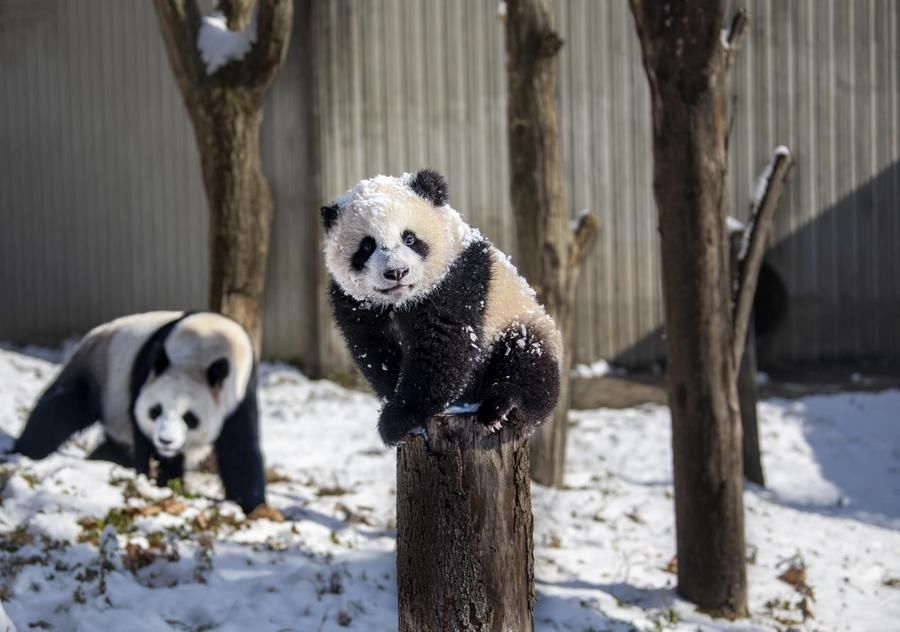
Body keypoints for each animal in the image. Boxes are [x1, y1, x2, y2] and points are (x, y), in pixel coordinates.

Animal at [12, 312, 266, 512]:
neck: (203, 344)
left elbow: (240, 449)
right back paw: (26, 451)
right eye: (156, 410)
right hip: (98, 371)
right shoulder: (143, 375)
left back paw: (102, 459)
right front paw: (159, 480)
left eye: (190, 418)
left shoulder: (239, 394)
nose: (166, 441)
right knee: (61, 409)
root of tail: (94, 333)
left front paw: (252, 505)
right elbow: (140, 431)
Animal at [324, 168, 564, 444]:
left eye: (409, 238)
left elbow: (444, 346)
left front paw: (397, 420)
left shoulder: (456, 278)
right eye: (367, 246)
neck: (400, 301)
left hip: (522, 322)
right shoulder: (354, 302)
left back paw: (503, 406)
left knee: (528, 362)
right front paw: (397, 409)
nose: (396, 272)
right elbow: (374, 349)